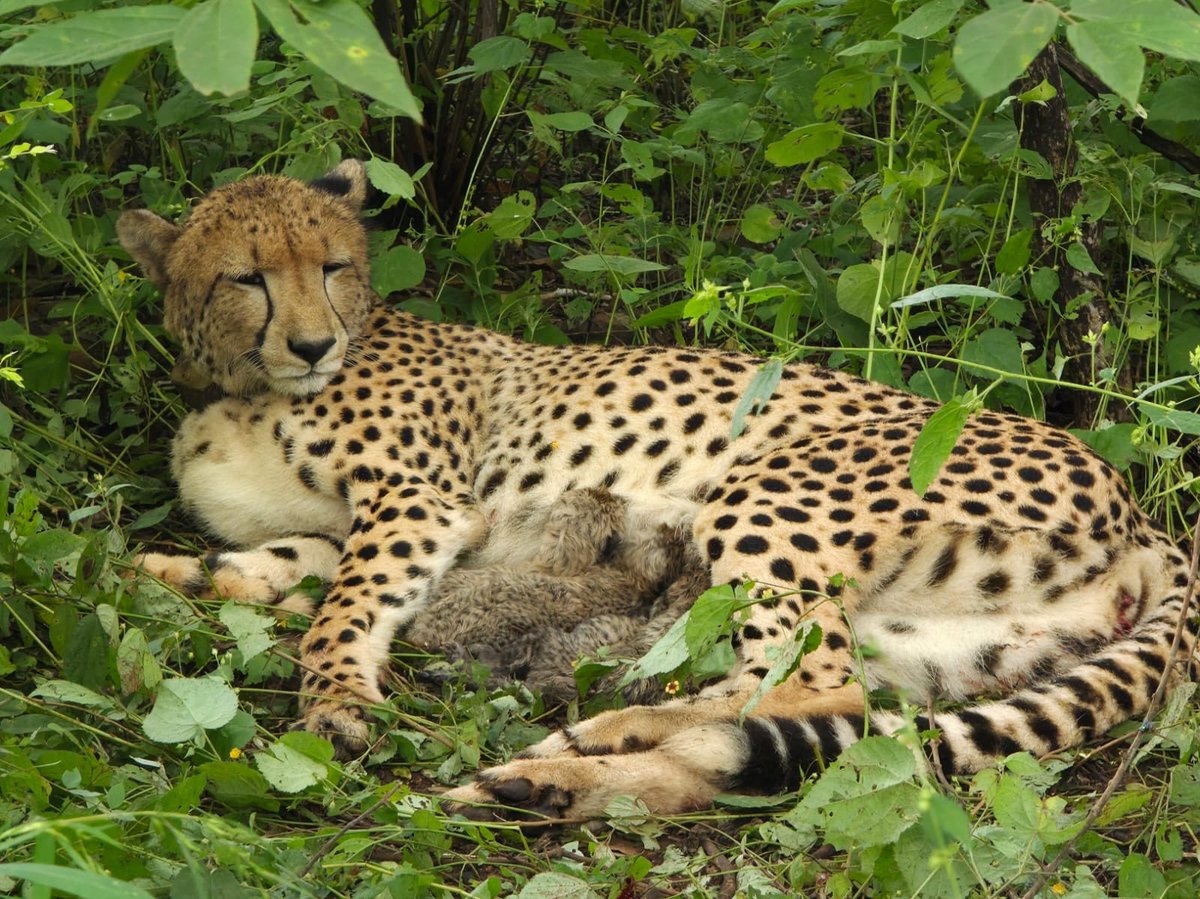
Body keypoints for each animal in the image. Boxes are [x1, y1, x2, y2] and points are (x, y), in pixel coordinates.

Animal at [117, 160, 1196, 821]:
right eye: (247, 277)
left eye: (334, 265)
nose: (312, 343)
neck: (244, 385)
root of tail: (1144, 510)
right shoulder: (349, 526)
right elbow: (274, 565)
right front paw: (166, 573)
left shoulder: (419, 504)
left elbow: (340, 608)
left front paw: (334, 699)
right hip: (945, 640)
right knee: (795, 714)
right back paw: (560, 771)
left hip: (768, 489)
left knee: (813, 682)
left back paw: (585, 742)